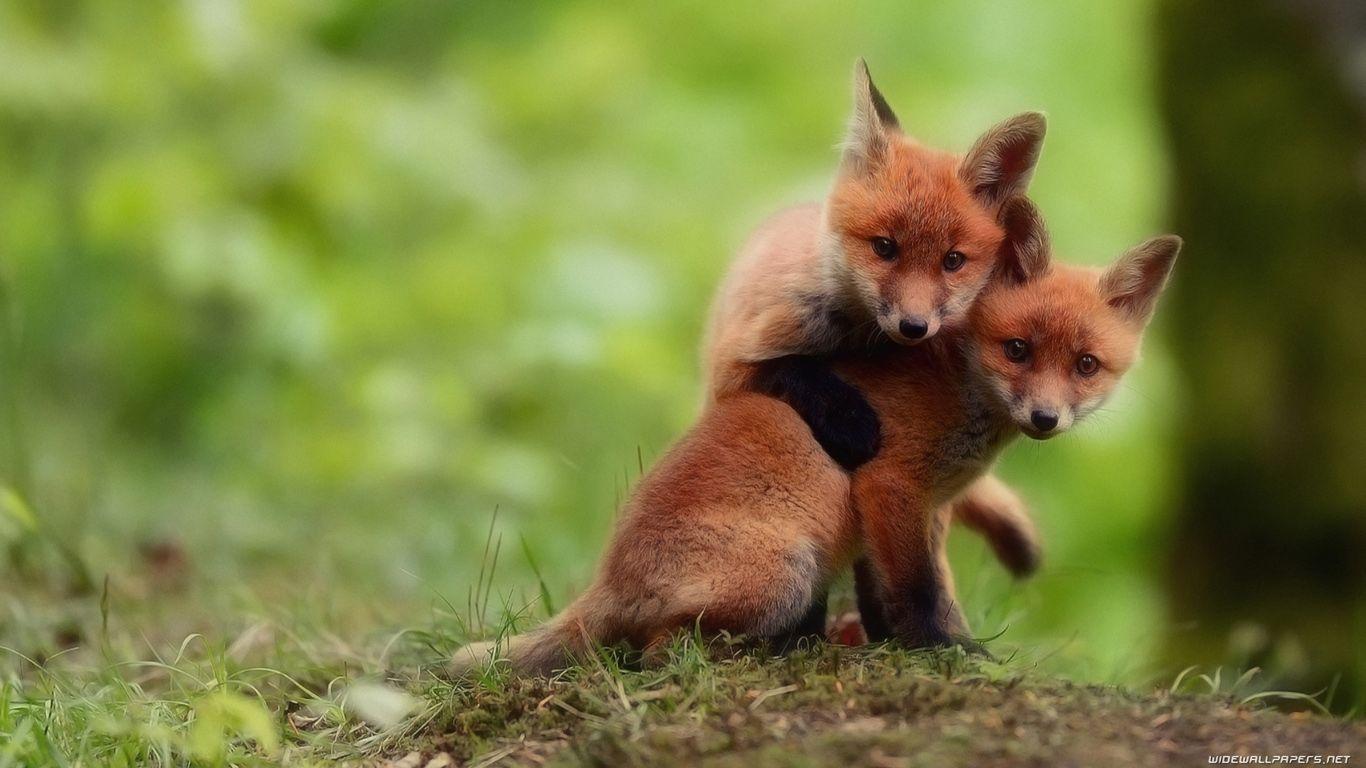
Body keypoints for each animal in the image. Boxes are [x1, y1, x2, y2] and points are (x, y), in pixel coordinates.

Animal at [452, 201, 1182, 674]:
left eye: (1085, 365)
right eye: (1018, 349)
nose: (1045, 419)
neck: (957, 385)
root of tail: (609, 575)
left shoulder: (922, 509)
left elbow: (904, 590)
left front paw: (907, 644)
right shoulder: (890, 484)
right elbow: (918, 592)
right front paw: (945, 653)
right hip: (787, 572)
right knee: (655, 652)